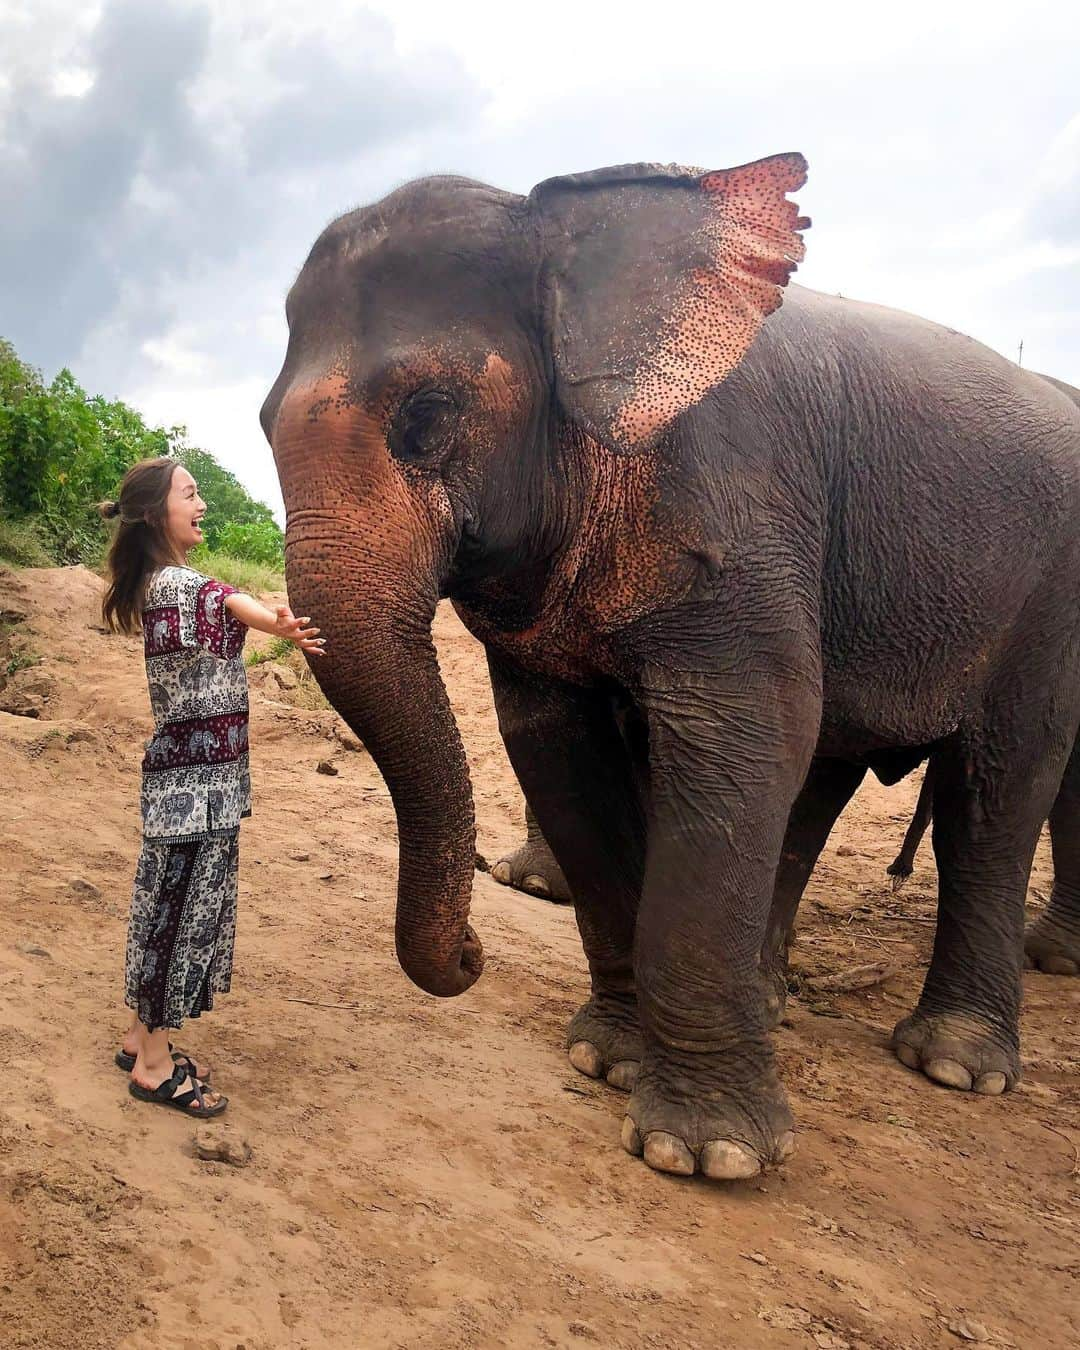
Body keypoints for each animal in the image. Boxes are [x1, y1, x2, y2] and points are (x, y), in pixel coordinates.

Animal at [263, 150, 1080, 1182]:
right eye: (260, 425)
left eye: (429, 414)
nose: (474, 956)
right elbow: (560, 752)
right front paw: (607, 1059)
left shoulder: (739, 509)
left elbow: (739, 738)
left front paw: (708, 1155)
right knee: (824, 784)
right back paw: (775, 1005)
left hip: (1048, 601)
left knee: (997, 790)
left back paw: (954, 1066)